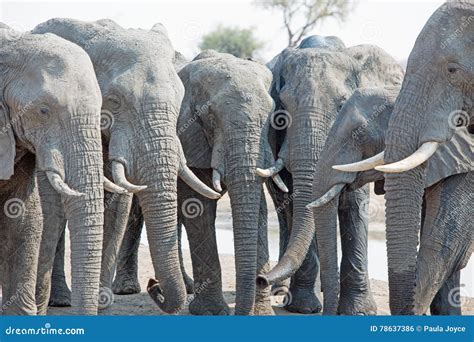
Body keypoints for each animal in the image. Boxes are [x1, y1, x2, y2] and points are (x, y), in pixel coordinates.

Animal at [31, 17, 218, 314]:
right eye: (114, 101)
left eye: (180, 101)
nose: (154, 286)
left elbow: (117, 207)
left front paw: (101, 304)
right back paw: (59, 300)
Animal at [256, 35, 404, 316]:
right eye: (282, 108)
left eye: (342, 105)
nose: (260, 279)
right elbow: (297, 201)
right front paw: (303, 306)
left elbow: (355, 204)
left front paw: (359, 311)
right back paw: (282, 290)